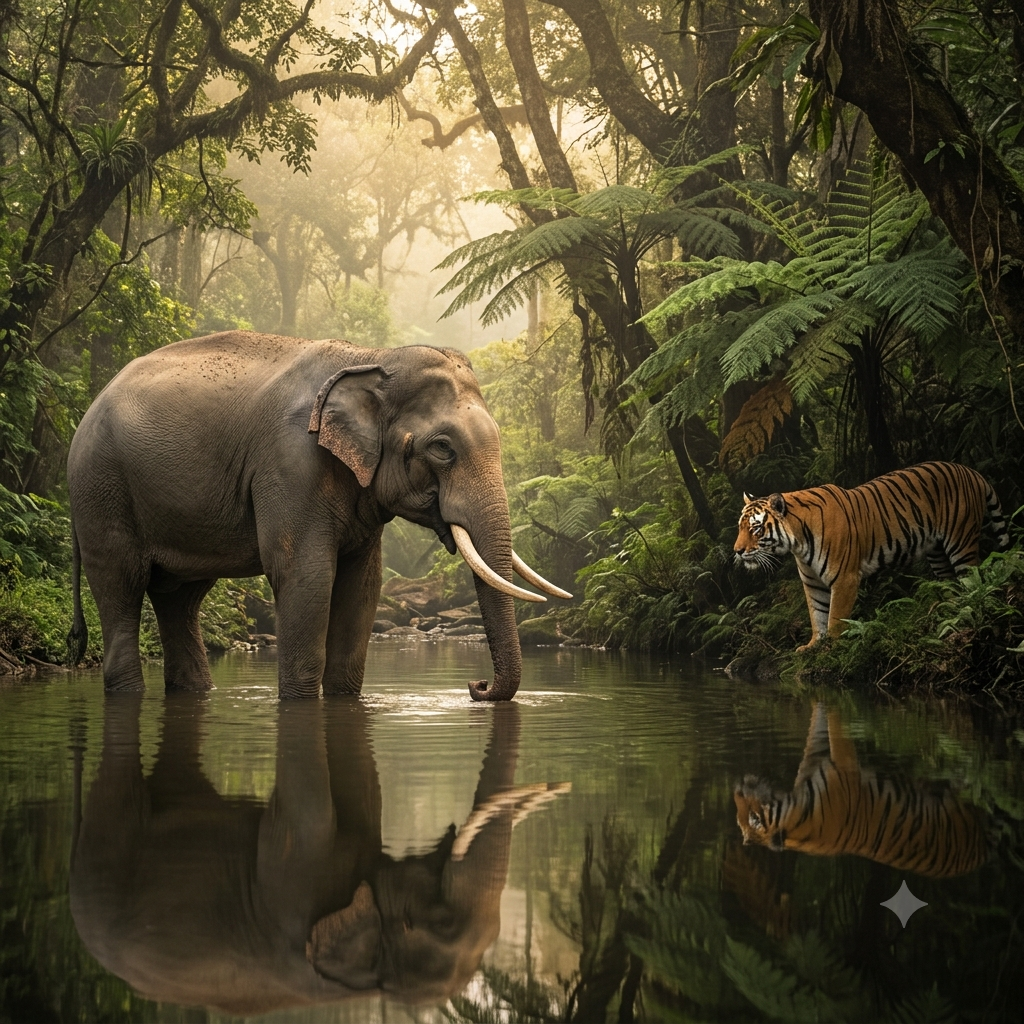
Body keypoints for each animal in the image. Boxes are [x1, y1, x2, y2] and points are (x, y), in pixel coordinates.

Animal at [66, 331, 570, 699]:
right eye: (443, 448)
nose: (475, 685)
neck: (372, 356)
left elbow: (362, 585)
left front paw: (343, 697)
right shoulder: (290, 463)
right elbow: (306, 574)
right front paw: (300, 701)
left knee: (179, 598)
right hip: (101, 490)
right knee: (121, 585)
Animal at [733, 461, 1010, 649]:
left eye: (755, 528)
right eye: (740, 527)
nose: (737, 551)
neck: (798, 543)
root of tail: (971, 471)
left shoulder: (844, 579)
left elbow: (835, 617)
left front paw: (832, 646)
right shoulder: (813, 583)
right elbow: (817, 615)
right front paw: (812, 646)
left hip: (961, 542)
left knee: (973, 580)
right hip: (937, 553)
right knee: (950, 583)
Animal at [734, 703, 990, 879]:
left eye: (754, 819)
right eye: (740, 821)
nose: (736, 791)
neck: (796, 816)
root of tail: (980, 854)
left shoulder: (841, 763)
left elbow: (832, 725)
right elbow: (819, 726)